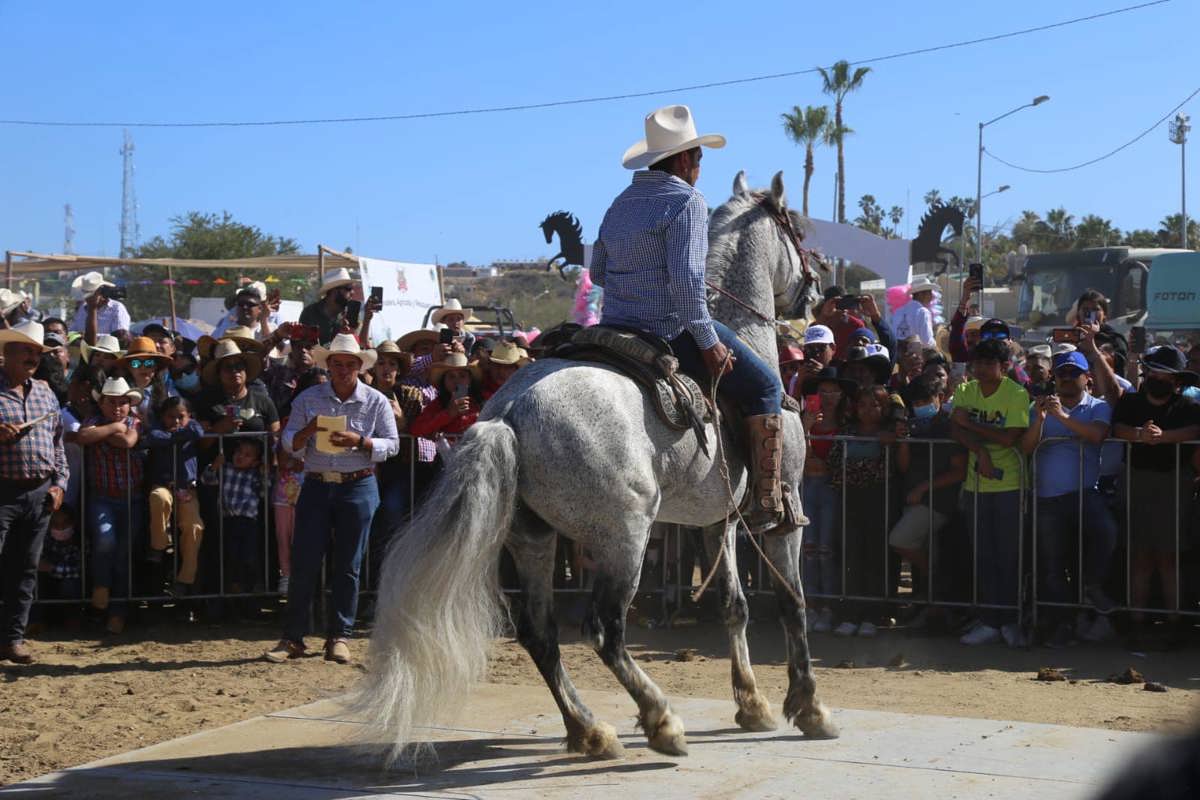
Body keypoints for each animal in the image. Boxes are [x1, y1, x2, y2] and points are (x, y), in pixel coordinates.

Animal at [357, 170, 835, 762]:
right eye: (797, 229)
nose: (820, 284)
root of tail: (508, 414)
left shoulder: (716, 520)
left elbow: (734, 605)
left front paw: (752, 705)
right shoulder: (783, 513)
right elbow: (793, 603)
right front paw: (809, 708)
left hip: (533, 538)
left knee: (540, 632)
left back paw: (589, 729)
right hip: (624, 535)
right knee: (604, 630)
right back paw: (660, 721)